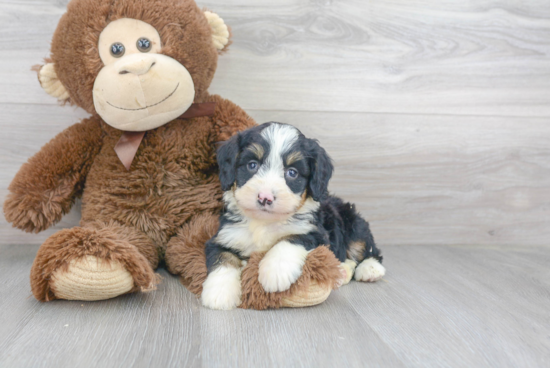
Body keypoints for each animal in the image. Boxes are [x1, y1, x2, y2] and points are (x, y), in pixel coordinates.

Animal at [201, 122, 386, 310]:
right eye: (252, 165)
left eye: (292, 172)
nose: (265, 197)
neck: (264, 222)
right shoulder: (224, 236)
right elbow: (223, 258)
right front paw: (220, 292)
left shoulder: (317, 233)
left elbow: (291, 239)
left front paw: (275, 271)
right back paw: (343, 271)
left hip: (353, 222)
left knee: (367, 249)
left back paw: (370, 269)